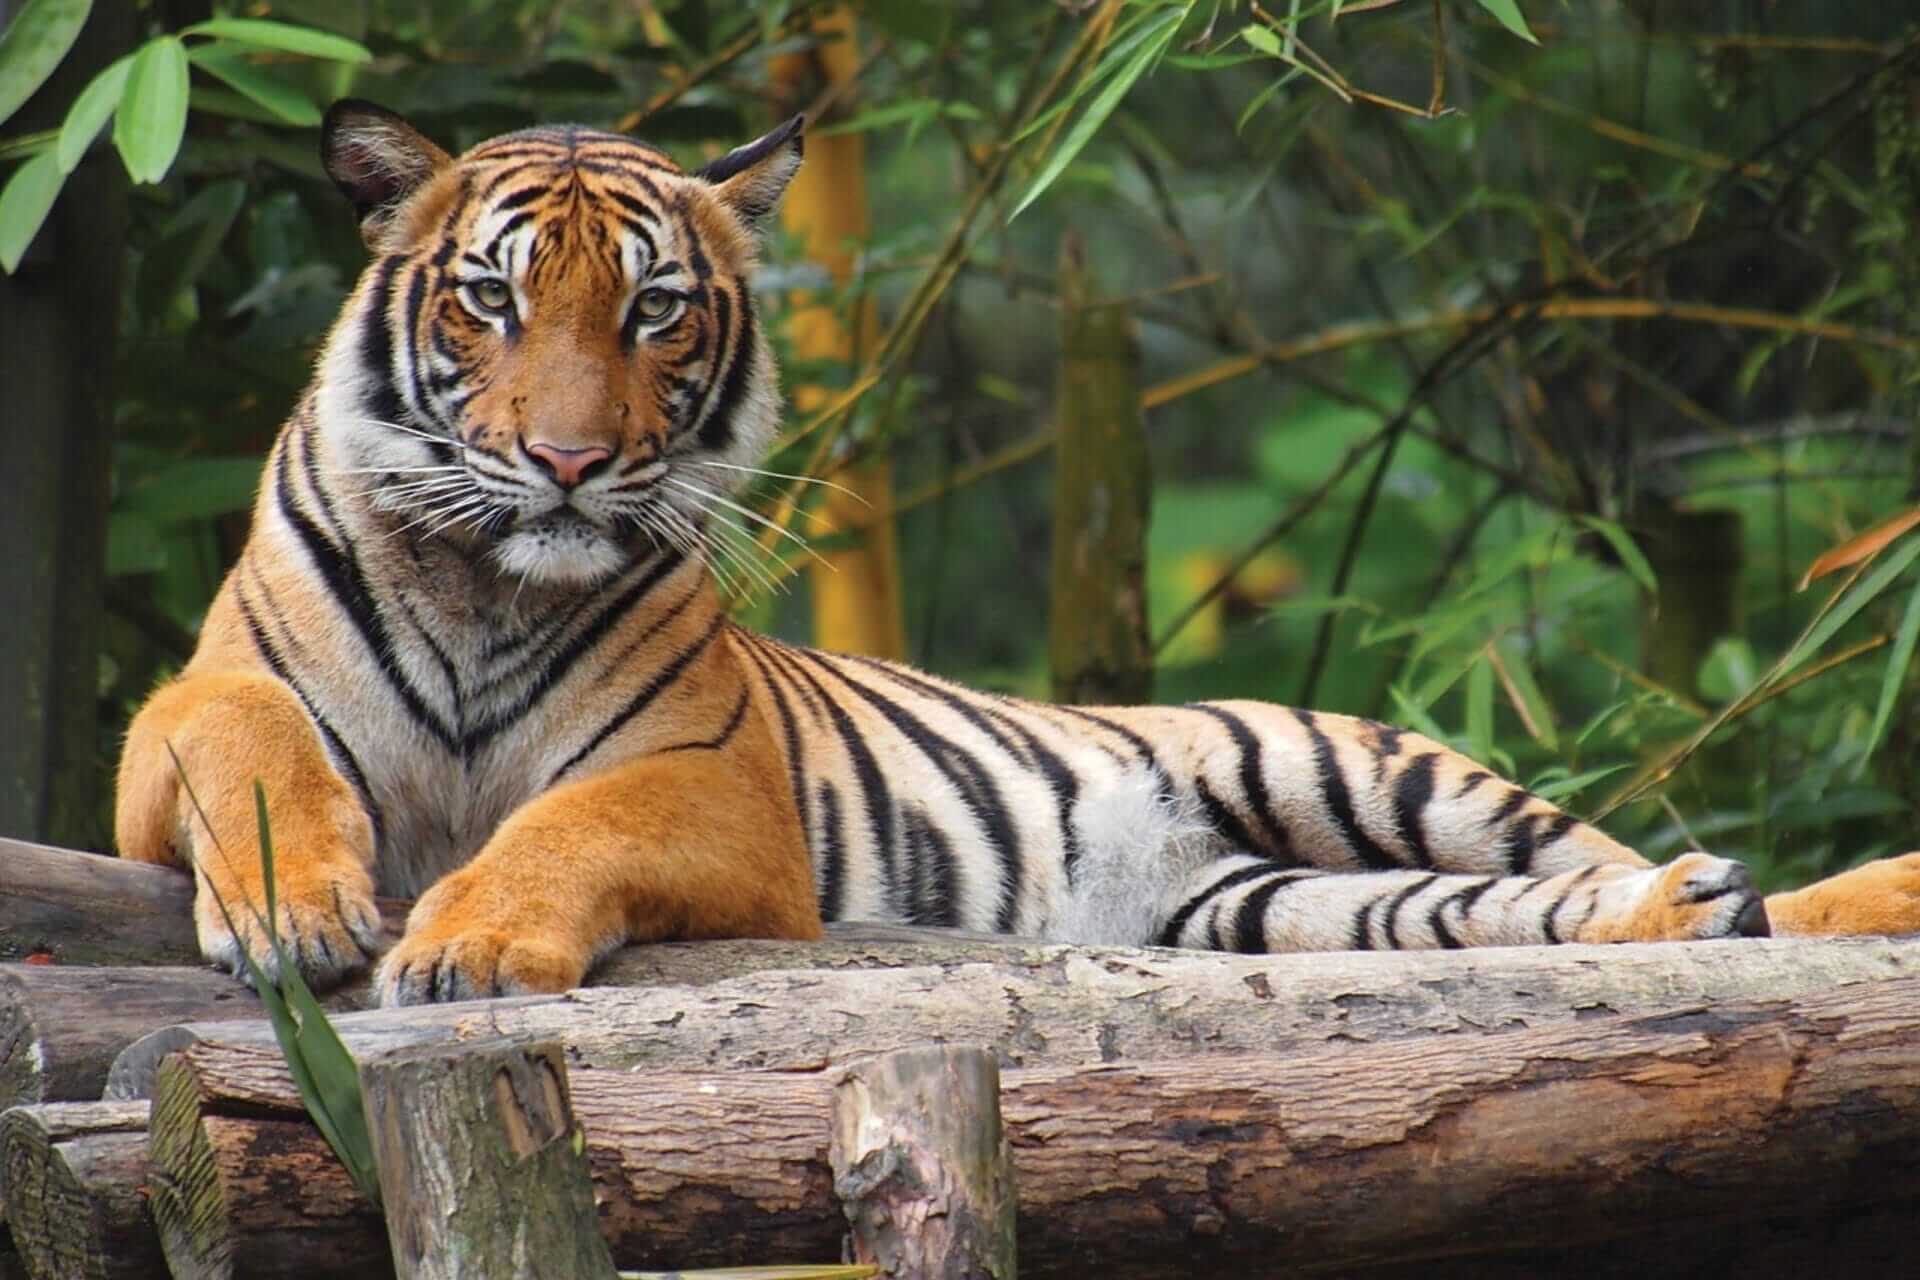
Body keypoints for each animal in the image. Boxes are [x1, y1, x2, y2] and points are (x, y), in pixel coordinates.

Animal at [116, 102, 1920, 1013]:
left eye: (654, 309)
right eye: (490, 301)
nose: (566, 461)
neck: (493, 578)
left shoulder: (709, 784)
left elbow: (566, 826)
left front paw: (471, 944)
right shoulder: (175, 724)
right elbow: (248, 743)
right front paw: (295, 918)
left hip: (1364, 767)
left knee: (1642, 866)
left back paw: (1805, 891)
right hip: (1277, 903)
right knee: (1549, 912)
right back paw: (1695, 907)